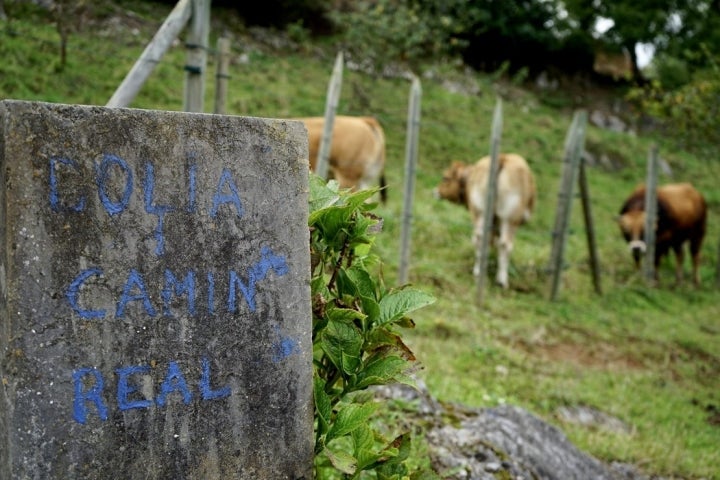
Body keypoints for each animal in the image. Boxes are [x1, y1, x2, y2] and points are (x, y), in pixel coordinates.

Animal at [434, 154, 536, 288]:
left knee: (482, 239)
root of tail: (502, 158)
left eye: (445, 178)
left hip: (482, 212)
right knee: (503, 244)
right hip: (507, 218)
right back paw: (500, 280)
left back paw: (481, 272)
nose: (435, 192)